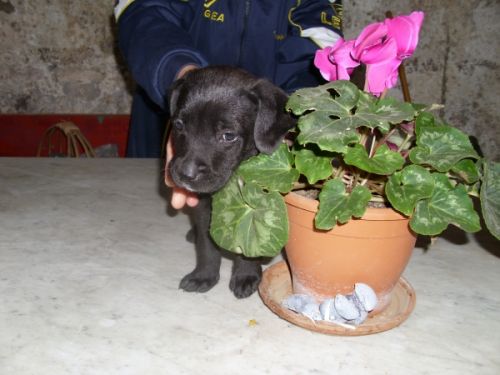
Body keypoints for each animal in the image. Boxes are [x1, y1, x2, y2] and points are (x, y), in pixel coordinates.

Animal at [168, 65, 292, 300]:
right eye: (179, 125)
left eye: (228, 136)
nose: (186, 174)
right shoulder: (204, 209)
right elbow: (206, 247)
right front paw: (204, 276)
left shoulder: (257, 207)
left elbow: (249, 242)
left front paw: (246, 275)